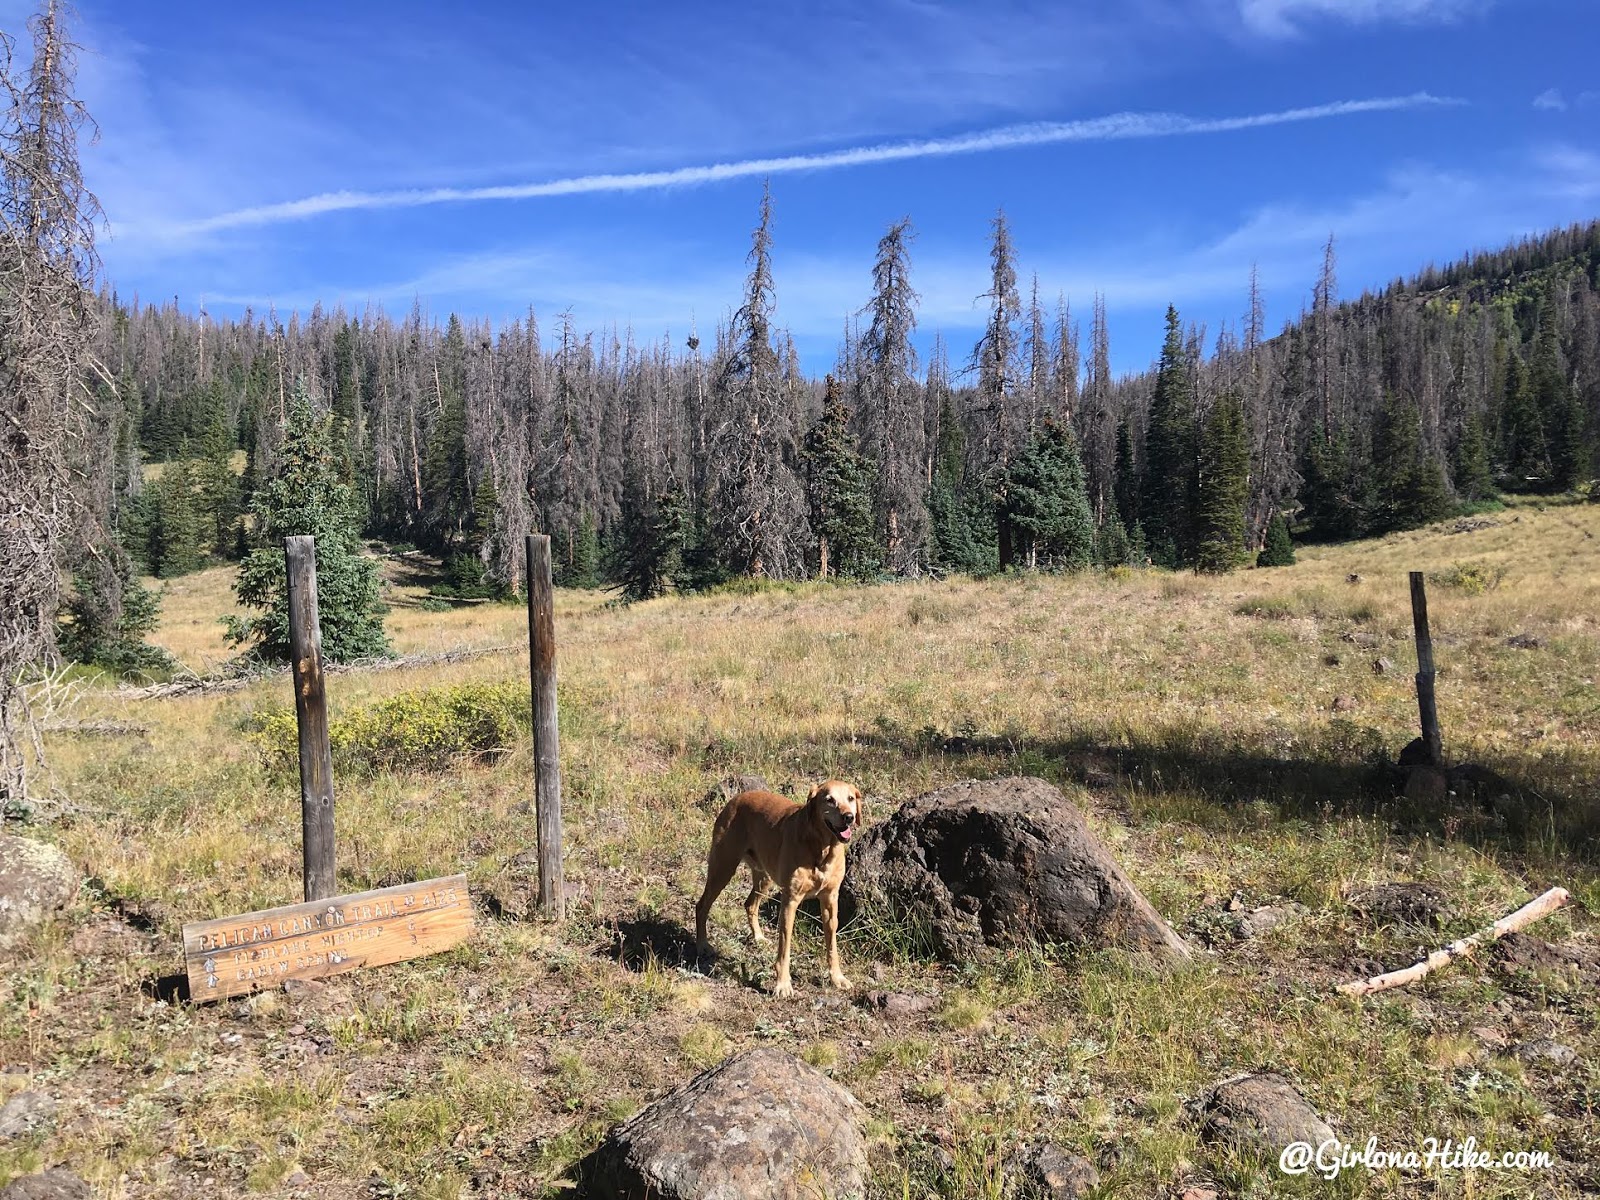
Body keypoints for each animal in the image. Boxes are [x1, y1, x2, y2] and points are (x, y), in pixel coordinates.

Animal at [691, 780, 864, 998]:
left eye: (850, 798)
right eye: (829, 800)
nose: (848, 817)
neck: (822, 848)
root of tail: (736, 798)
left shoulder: (830, 901)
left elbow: (832, 945)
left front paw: (837, 978)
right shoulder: (790, 901)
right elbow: (784, 948)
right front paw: (783, 984)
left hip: (764, 876)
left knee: (750, 904)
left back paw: (758, 937)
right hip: (723, 867)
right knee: (702, 905)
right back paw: (702, 945)